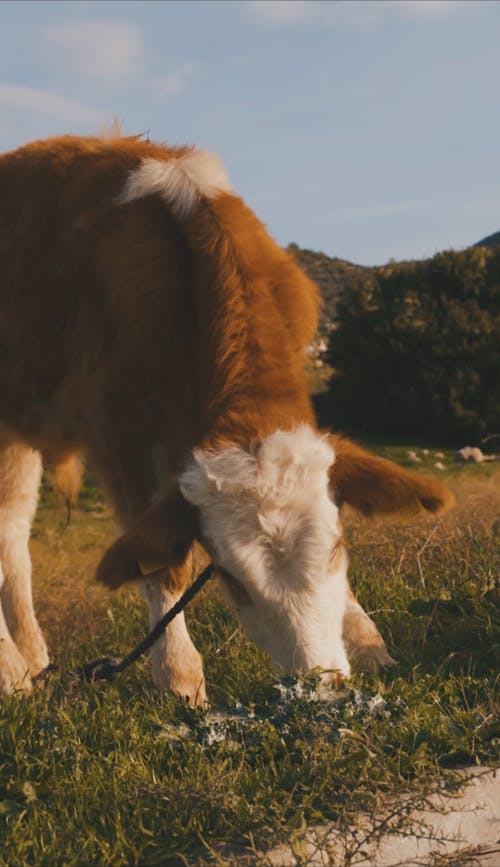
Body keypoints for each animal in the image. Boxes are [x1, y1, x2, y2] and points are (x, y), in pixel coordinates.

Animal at [0, 134, 452, 704]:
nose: (320, 684)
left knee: (12, 531)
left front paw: (369, 645)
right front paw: (179, 677)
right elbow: (160, 562)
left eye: (338, 547)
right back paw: (11, 671)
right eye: (232, 579)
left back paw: (33, 664)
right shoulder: (120, 434)